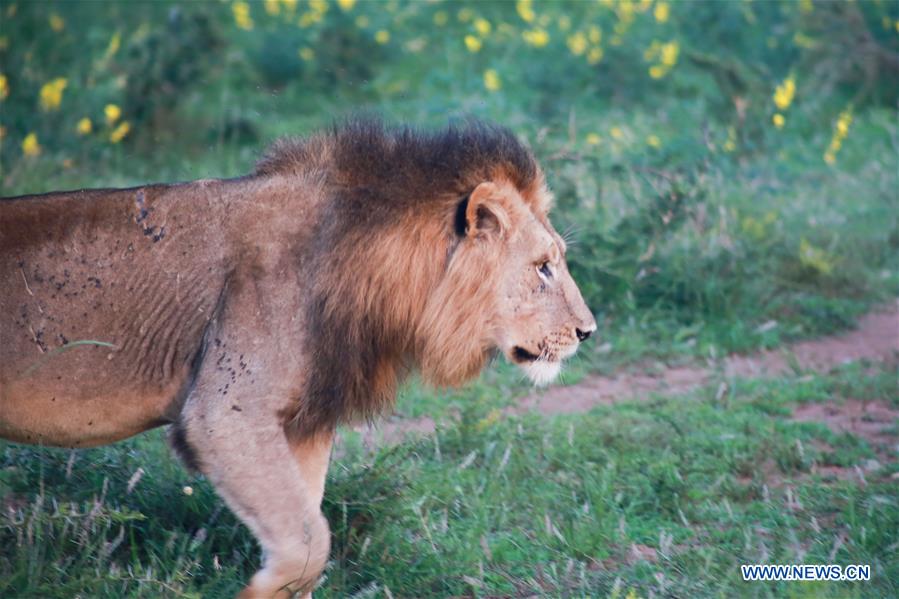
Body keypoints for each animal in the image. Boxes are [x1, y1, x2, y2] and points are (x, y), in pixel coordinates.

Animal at [0, 119, 596, 597]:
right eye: (543, 267)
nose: (588, 331)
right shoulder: (225, 413)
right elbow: (310, 542)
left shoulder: (302, 425)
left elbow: (308, 528)